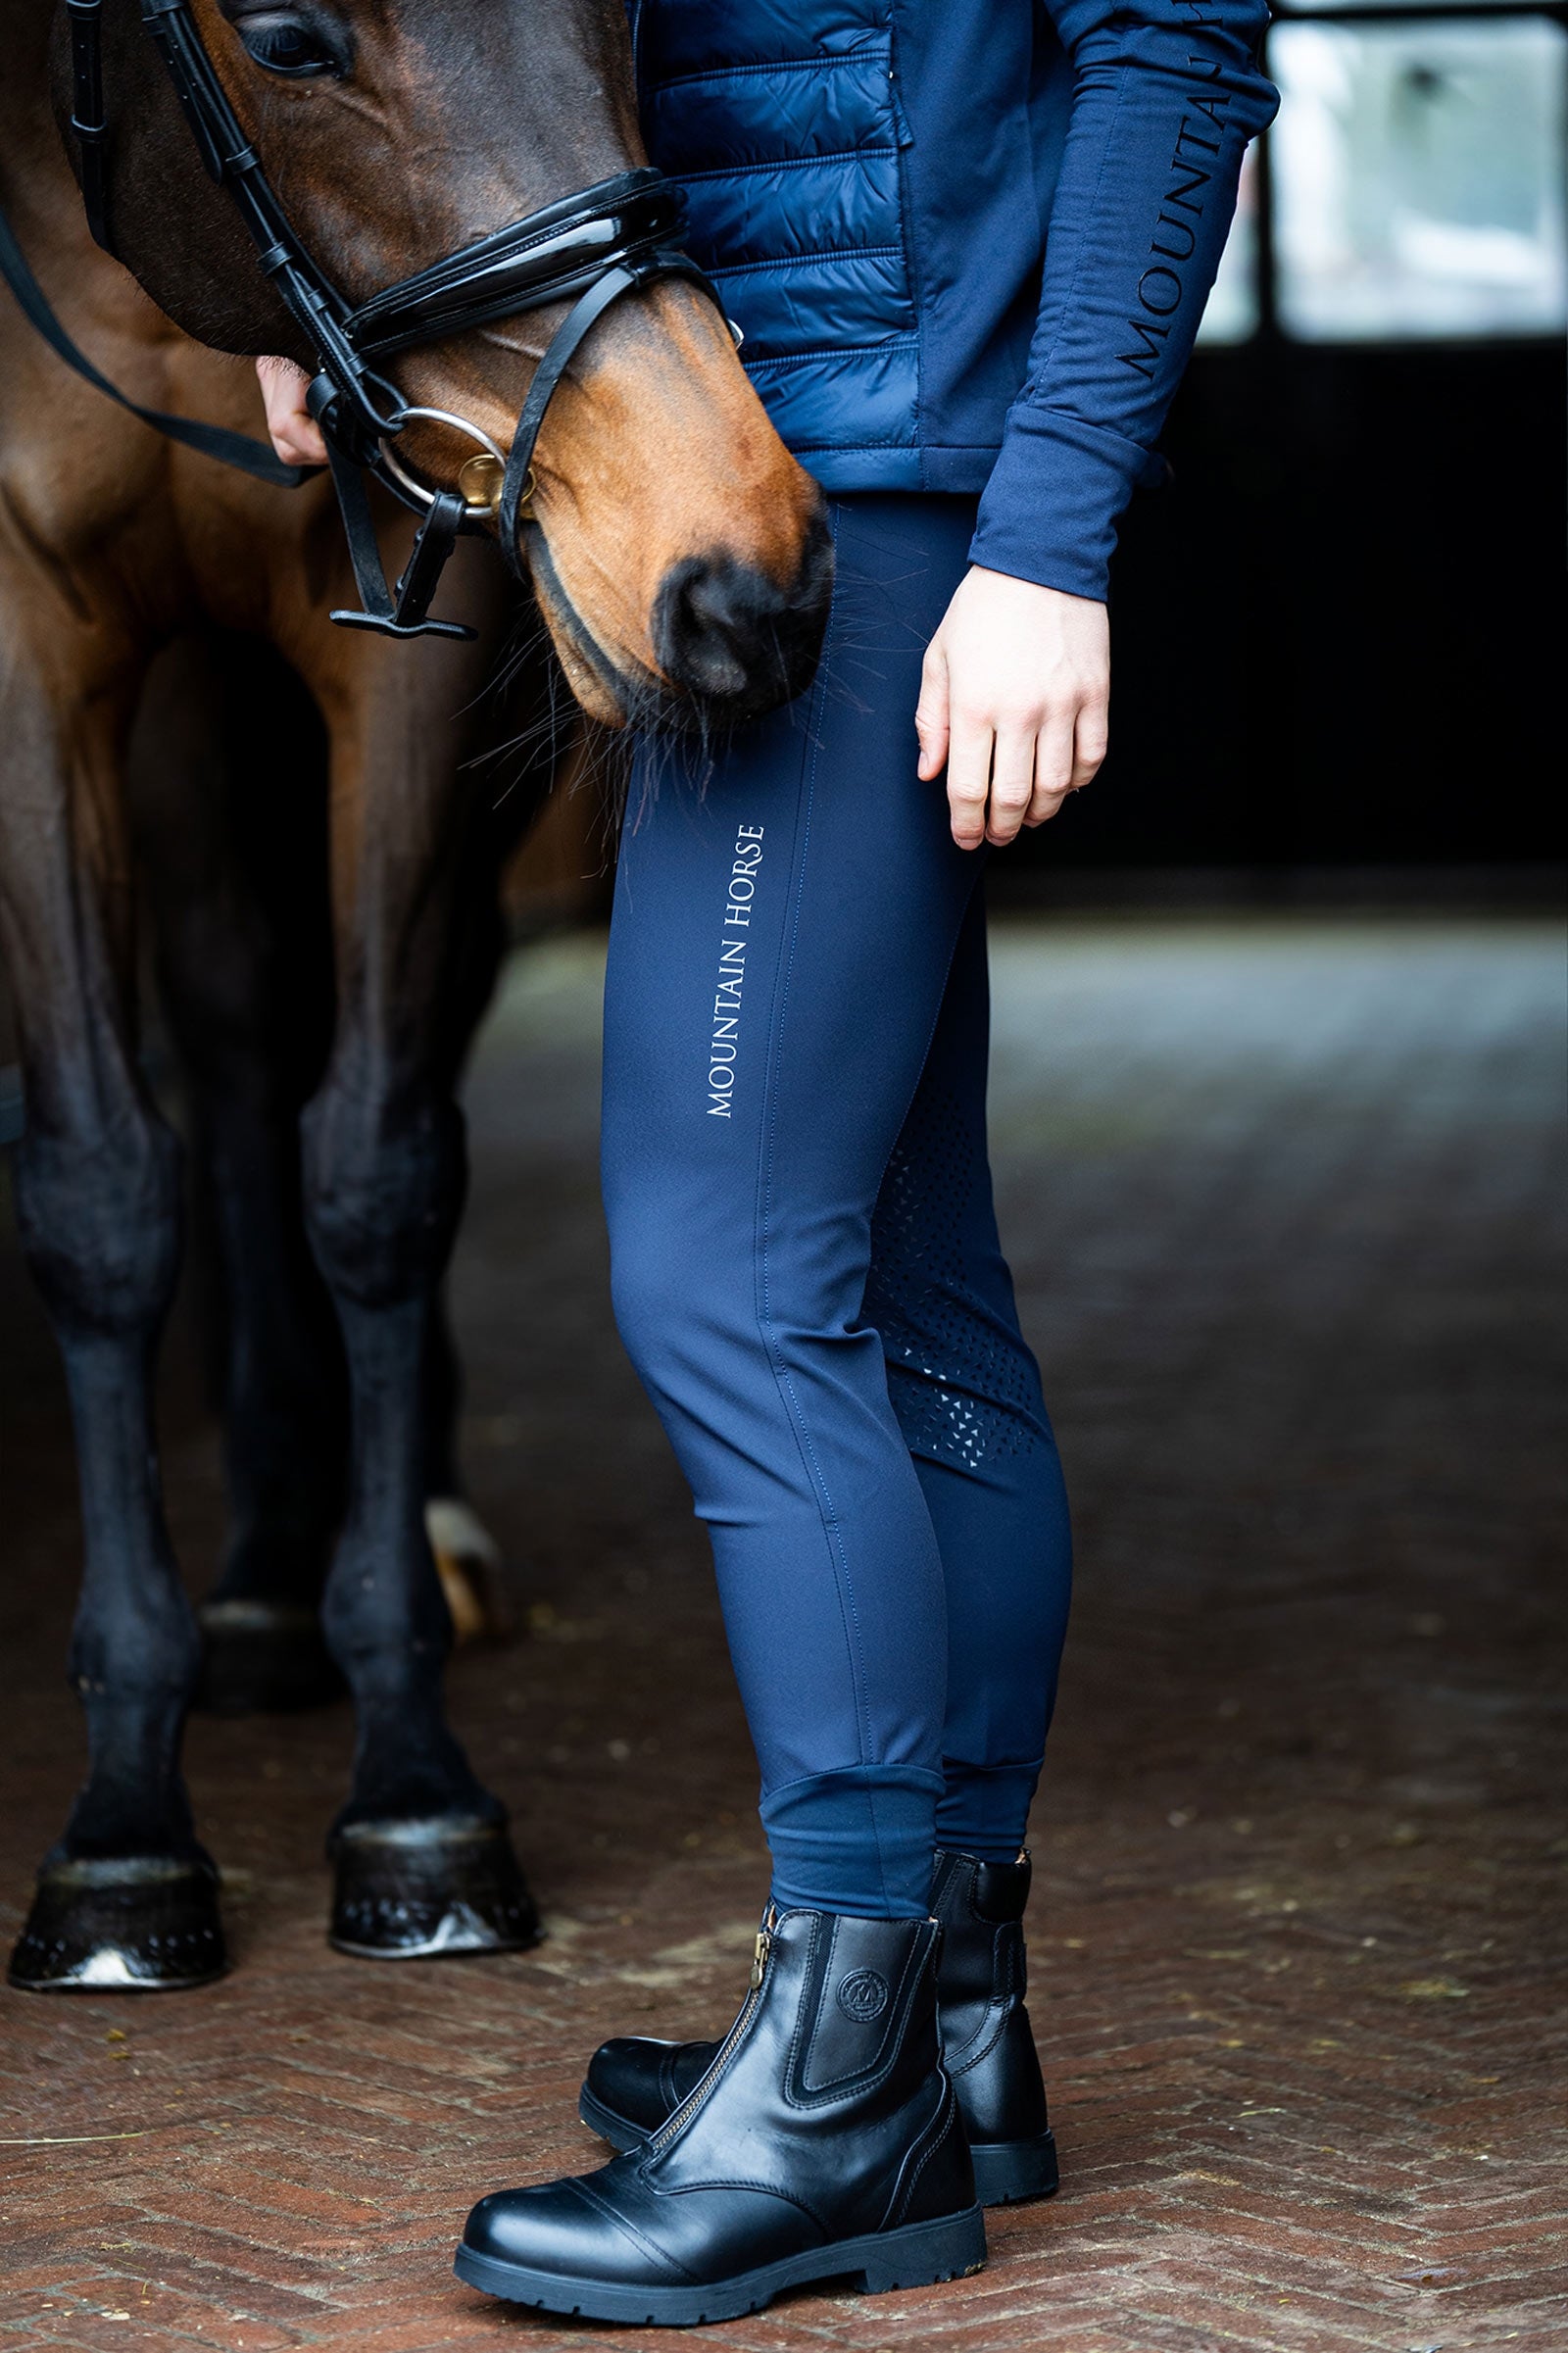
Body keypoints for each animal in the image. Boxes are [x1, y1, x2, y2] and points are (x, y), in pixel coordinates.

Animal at [0, 0, 831, 1991]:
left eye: (631, 20)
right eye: (291, 38)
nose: (745, 574)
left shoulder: (412, 667)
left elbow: (378, 1168)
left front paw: (417, 1790)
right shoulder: (31, 633)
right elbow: (98, 1192)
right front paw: (123, 1828)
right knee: (233, 1042)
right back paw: (254, 1583)